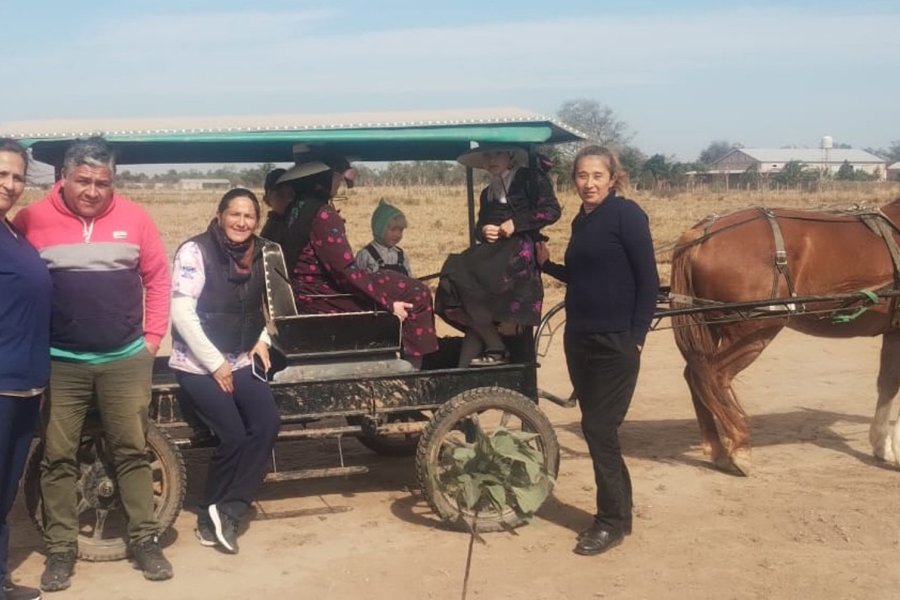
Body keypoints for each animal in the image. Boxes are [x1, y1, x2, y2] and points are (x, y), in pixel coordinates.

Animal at [672, 199, 900, 476]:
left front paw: (882, 446)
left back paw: (717, 448)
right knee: (712, 376)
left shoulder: (893, 333)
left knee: (696, 374)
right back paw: (739, 448)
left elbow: (887, 384)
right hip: (752, 332)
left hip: (713, 328)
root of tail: (702, 233)